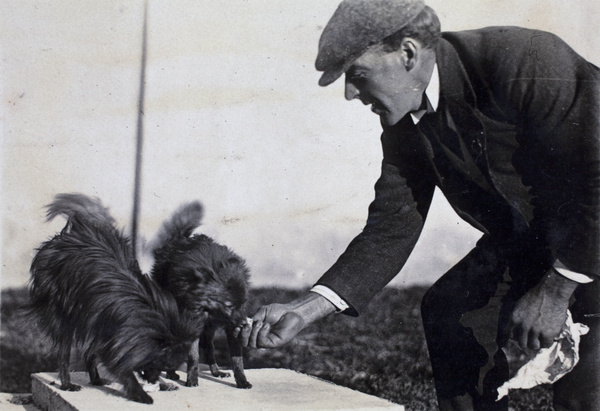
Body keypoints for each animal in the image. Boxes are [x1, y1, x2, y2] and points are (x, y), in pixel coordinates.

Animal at [29, 194, 199, 406]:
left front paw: (162, 383)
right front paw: (140, 393)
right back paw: (67, 384)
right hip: (64, 316)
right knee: (64, 353)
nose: (152, 379)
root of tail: (69, 235)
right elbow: (121, 367)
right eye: (161, 363)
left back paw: (96, 379)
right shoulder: (116, 341)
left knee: (88, 352)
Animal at [152, 203, 253, 390]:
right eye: (229, 305)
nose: (244, 324)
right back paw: (171, 373)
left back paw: (216, 371)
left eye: (243, 303)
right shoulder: (194, 325)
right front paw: (192, 379)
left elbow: (237, 360)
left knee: (209, 348)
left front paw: (242, 381)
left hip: (209, 329)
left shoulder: (229, 328)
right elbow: (193, 356)